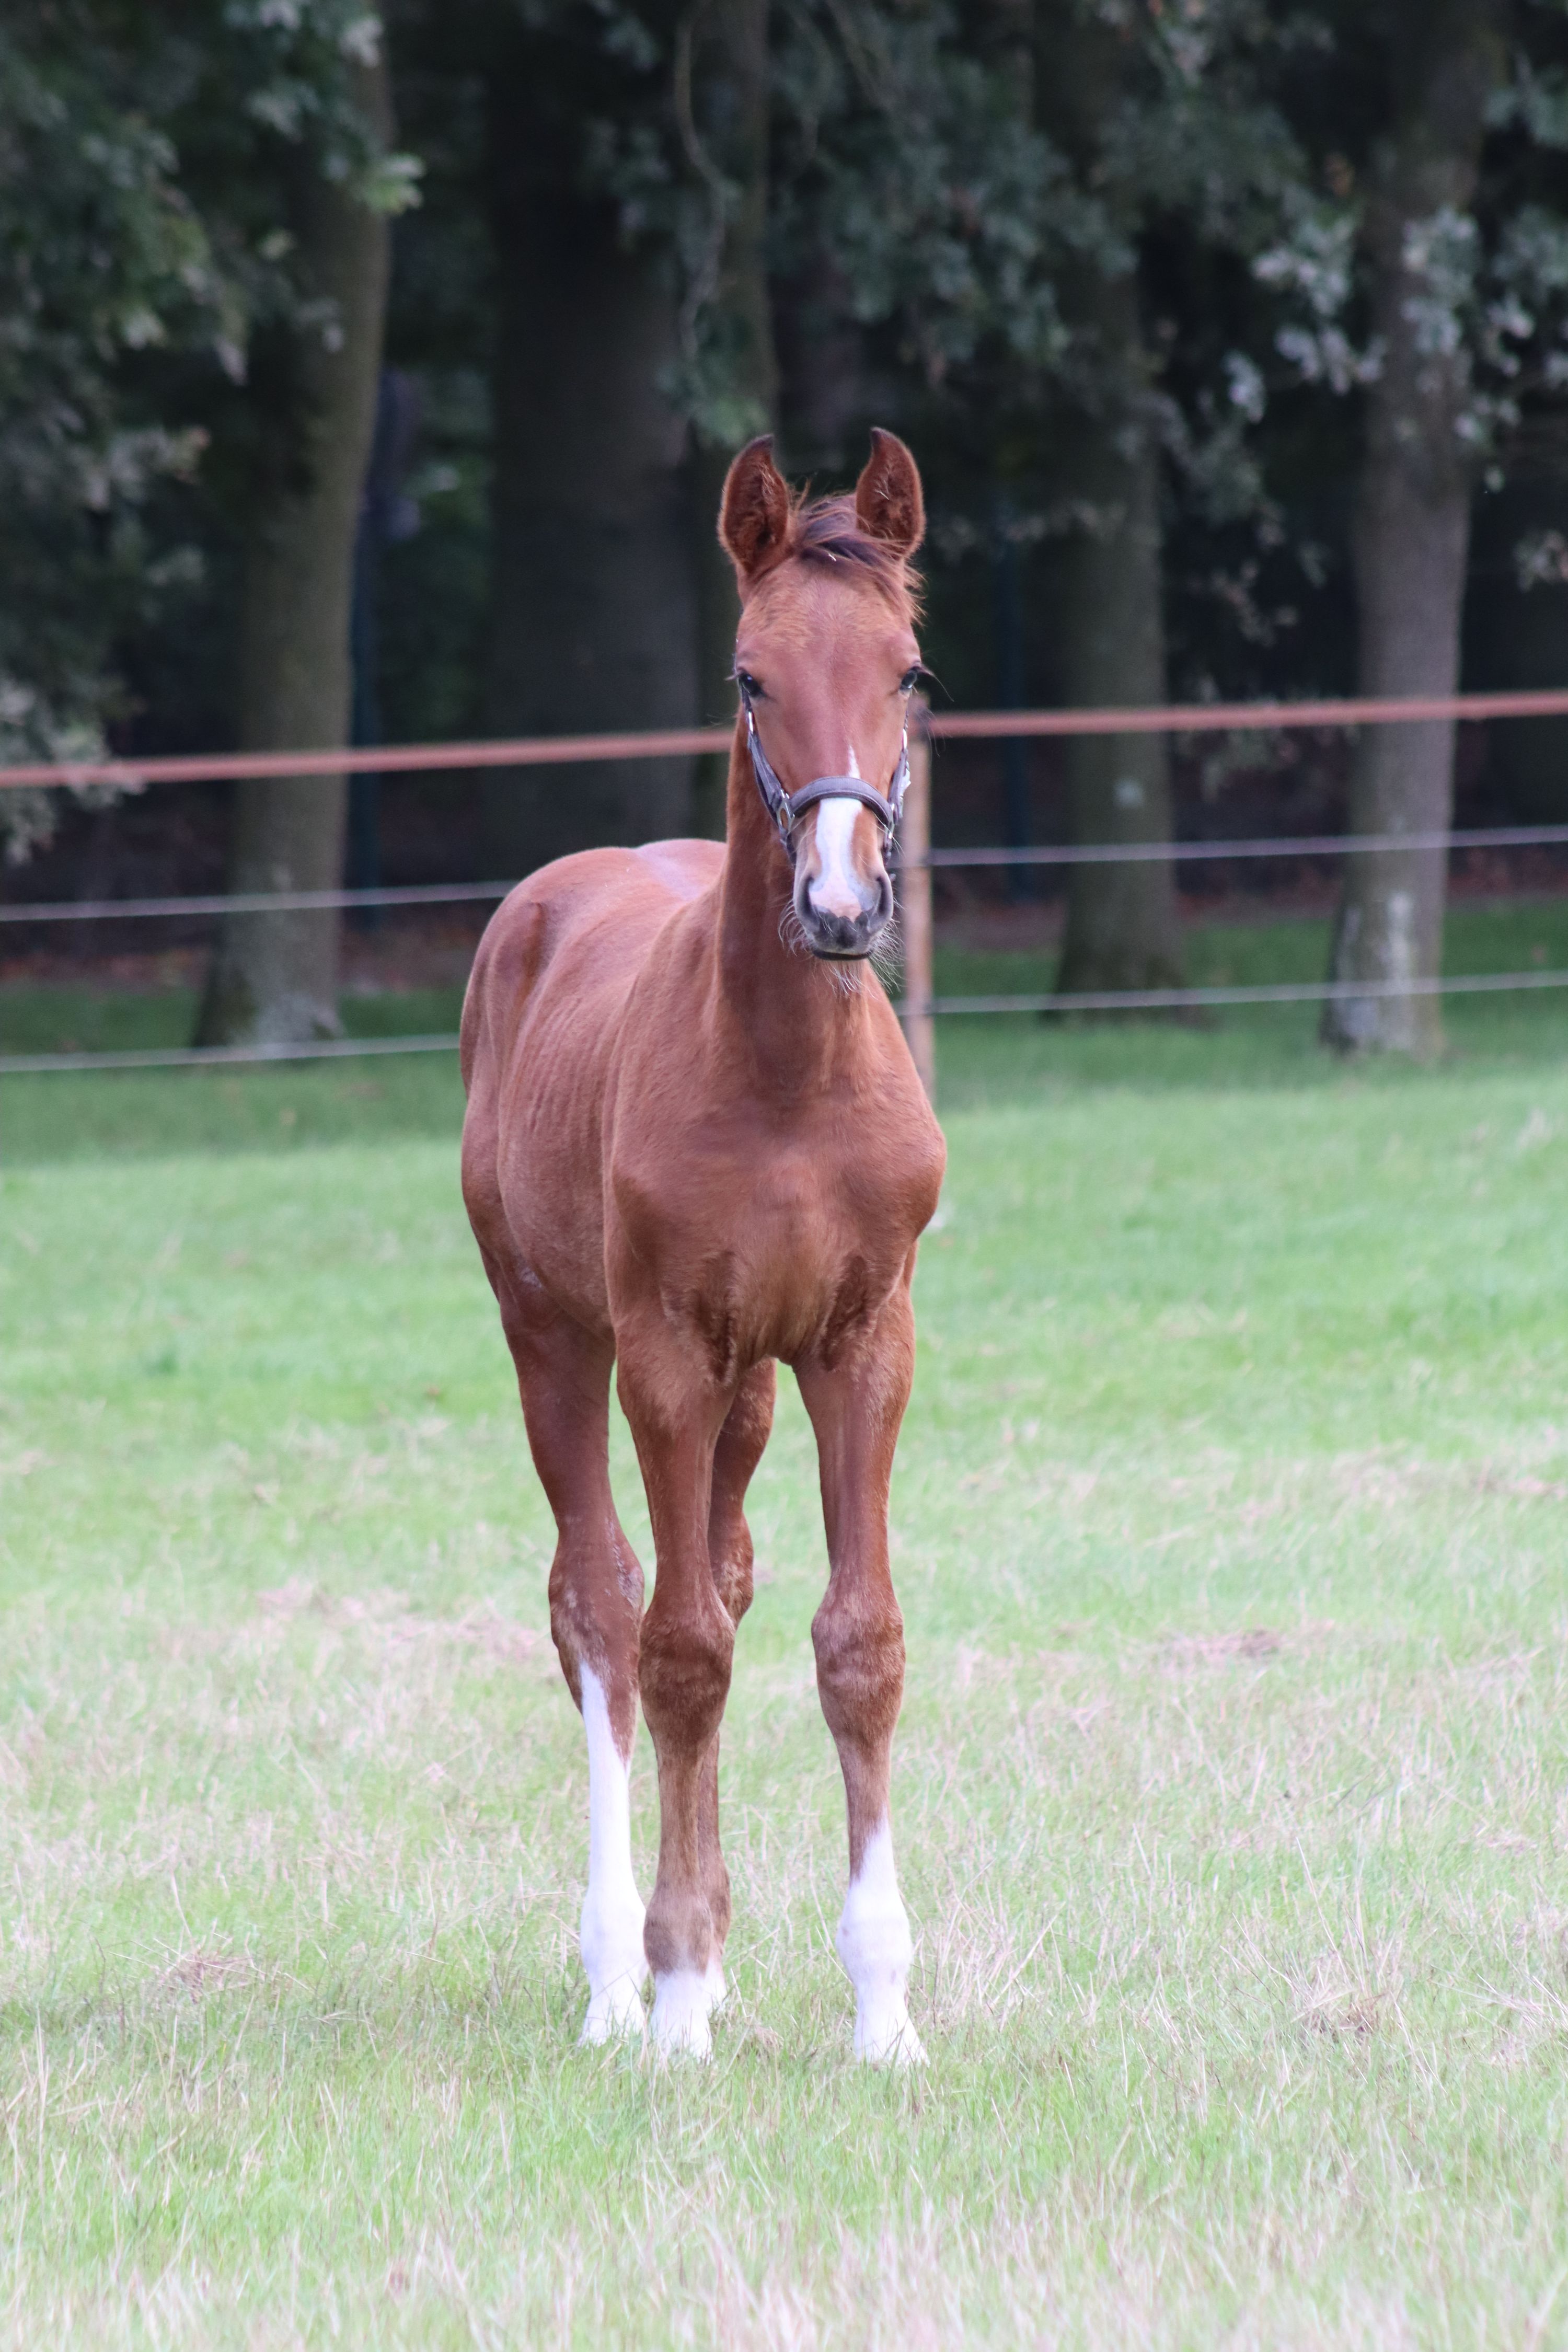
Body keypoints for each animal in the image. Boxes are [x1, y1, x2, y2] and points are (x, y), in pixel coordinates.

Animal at [460, 430, 946, 2061]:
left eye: (907, 670)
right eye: (750, 674)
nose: (843, 902)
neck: (786, 1074)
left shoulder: (862, 1343)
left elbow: (852, 1643)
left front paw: (881, 2006)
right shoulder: (663, 1352)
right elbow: (673, 1651)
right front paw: (674, 1999)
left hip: (748, 1382)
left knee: (718, 1575)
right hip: (556, 1336)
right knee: (604, 1606)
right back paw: (622, 1970)